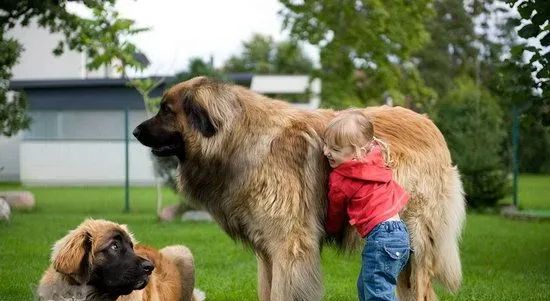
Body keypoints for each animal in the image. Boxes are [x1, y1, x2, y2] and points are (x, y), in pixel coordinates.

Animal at [133, 77, 466, 300]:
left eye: (166, 110)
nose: (135, 131)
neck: (237, 137)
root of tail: (429, 124)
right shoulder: (267, 251)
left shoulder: (289, 245)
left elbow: (283, 291)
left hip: (416, 236)